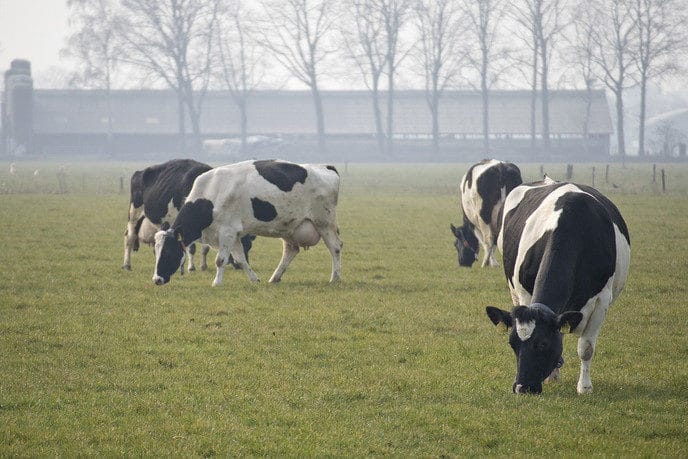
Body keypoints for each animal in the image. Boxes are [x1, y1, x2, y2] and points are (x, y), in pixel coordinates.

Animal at [123, 159, 254, 273]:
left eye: (249, 246)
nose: (241, 266)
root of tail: (139, 172)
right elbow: (191, 248)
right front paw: (191, 267)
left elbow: (205, 248)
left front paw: (203, 266)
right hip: (134, 212)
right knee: (129, 237)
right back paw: (127, 265)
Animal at [152, 159, 342, 286]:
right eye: (156, 252)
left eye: (168, 252)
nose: (156, 279)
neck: (212, 194)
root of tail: (326, 166)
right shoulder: (234, 234)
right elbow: (241, 259)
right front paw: (254, 279)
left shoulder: (227, 231)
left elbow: (220, 260)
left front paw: (216, 283)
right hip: (290, 228)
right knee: (291, 251)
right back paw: (275, 278)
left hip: (324, 222)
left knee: (335, 248)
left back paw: (335, 278)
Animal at [485, 181, 631, 394]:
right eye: (512, 343)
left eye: (543, 344)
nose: (521, 387)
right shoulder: (524, 294)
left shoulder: (601, 300)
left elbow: (586, 348)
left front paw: (584, 387)